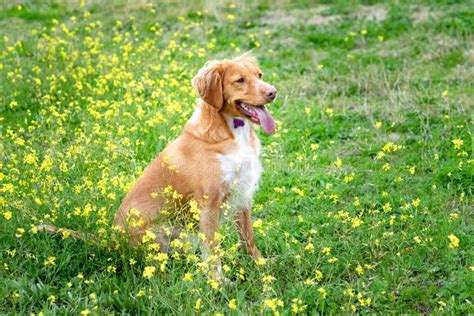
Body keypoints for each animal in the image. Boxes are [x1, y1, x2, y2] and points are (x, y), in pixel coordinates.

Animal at [40, 53, 280, 276]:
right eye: (240, 80)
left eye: (259, 75)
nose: (273, 92)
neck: (233, 133)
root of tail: (112, 239)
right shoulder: (209, 203)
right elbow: (212, 250)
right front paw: (218, 282)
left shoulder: (243, 194)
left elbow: (248, 237)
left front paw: (260, 264)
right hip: (159, 231)